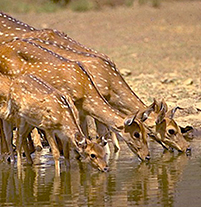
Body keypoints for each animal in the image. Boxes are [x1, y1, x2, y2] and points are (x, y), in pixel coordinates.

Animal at [0, 38, 150, 161]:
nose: (147, 156)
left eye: (145, 132)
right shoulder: (68, 99)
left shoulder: (81, 110)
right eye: (136, 134)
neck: (85, 91)